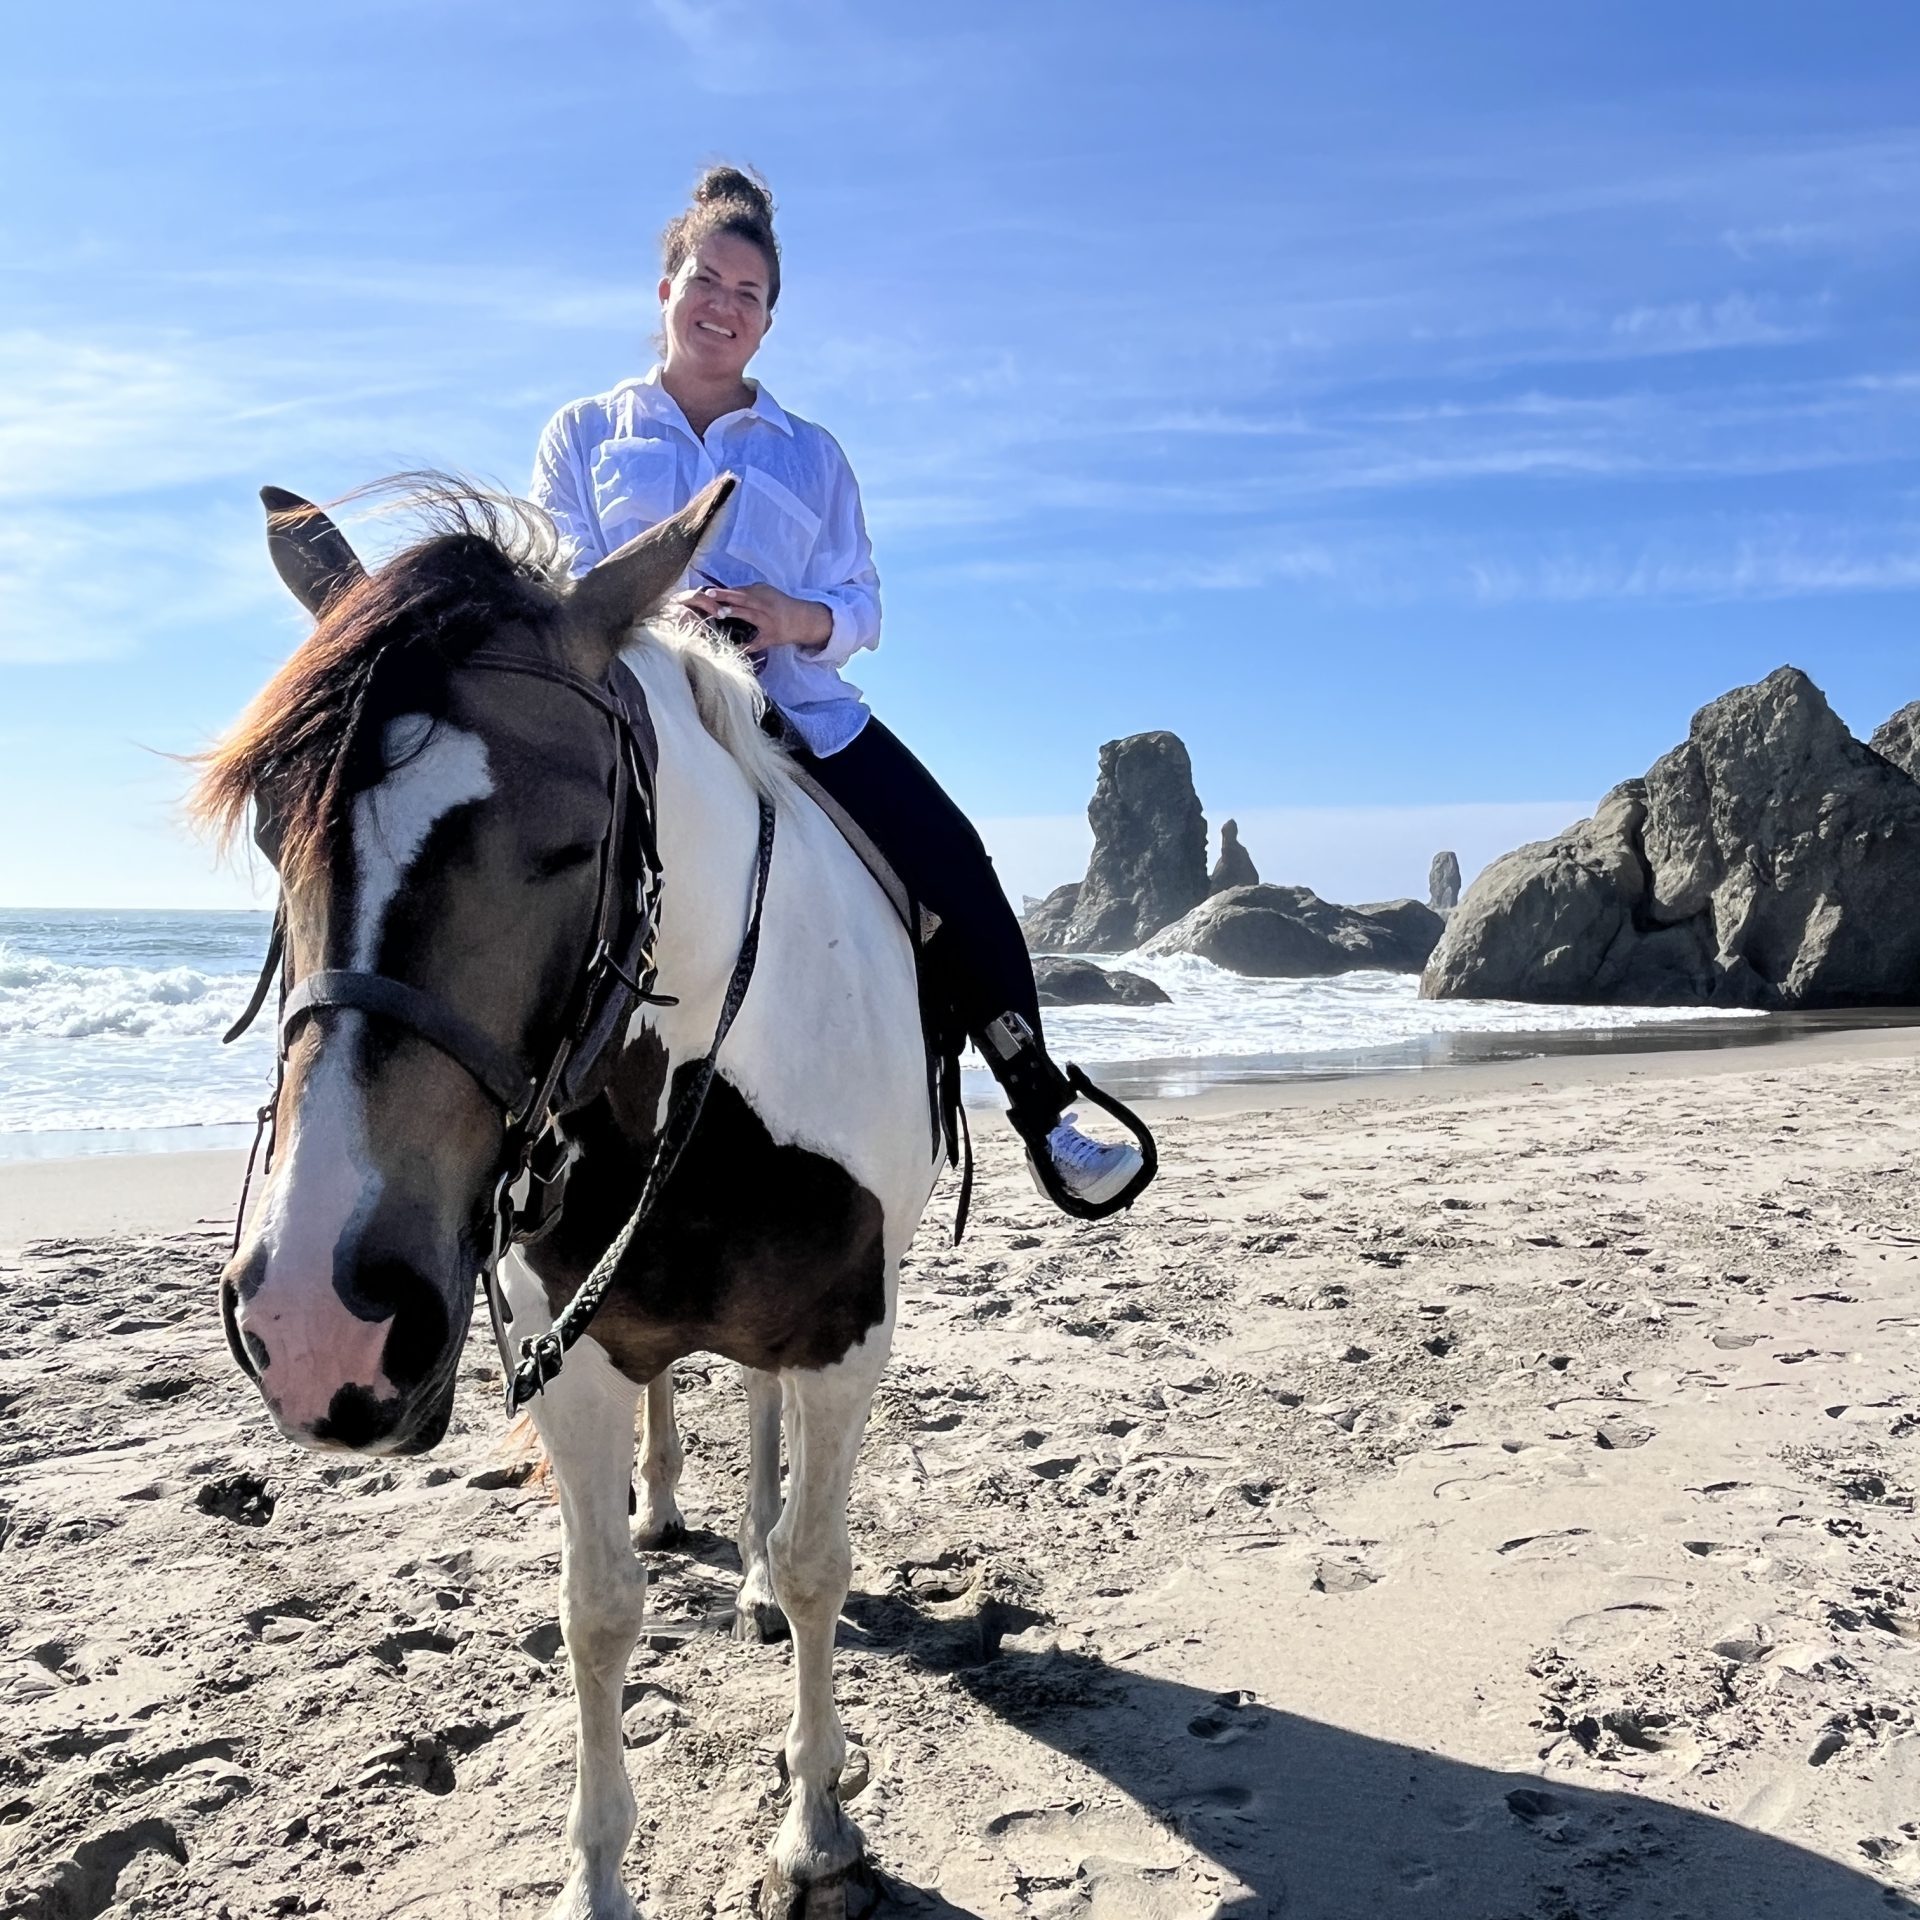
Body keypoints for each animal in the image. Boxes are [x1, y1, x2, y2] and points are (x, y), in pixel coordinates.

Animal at [195, 473, 941, 1920]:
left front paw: (816, 1822)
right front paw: (596, 1874)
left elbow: (819, 1563)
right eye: (275, 829)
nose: (319, 1323)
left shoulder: (844, 1340)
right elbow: (595, 1606)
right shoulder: (571, 1350)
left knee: (761, 1430)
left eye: (573, 841)